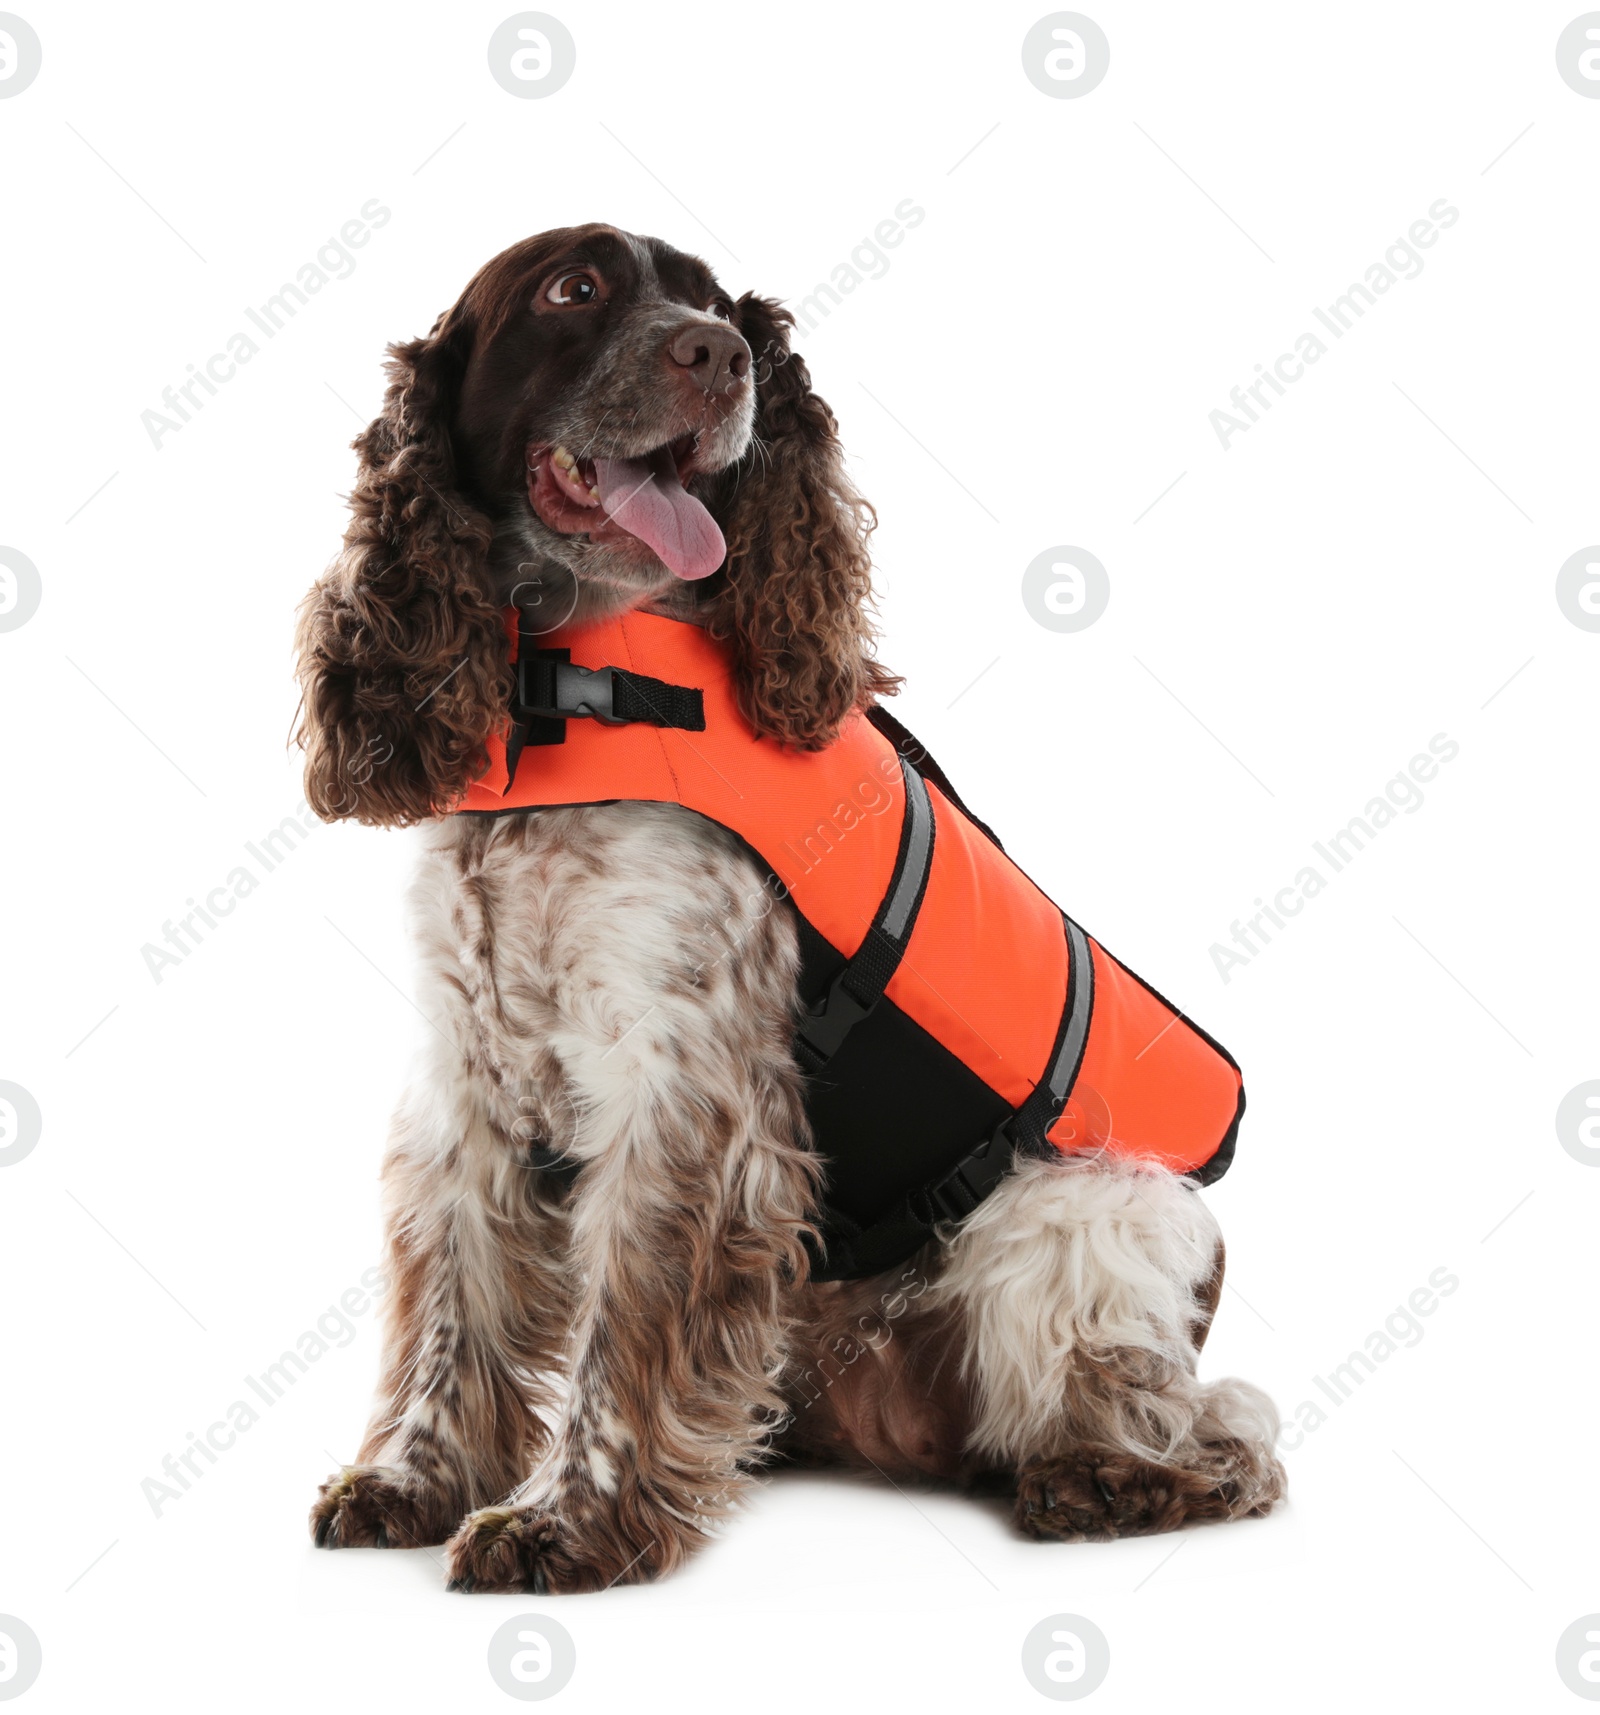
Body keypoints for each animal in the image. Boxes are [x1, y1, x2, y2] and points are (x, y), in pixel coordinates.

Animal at [293, 228, 1282, 1591]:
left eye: (719, 309)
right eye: (572, 290)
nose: (717, 358)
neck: (566, 682)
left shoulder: (682, 1080)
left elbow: (623, 1313)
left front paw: (570, 1521)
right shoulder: (466, 1072)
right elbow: (454, 1297)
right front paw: (409, 1476)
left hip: (1076, 1213)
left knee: (1223, 1426)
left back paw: (1102, 1477)